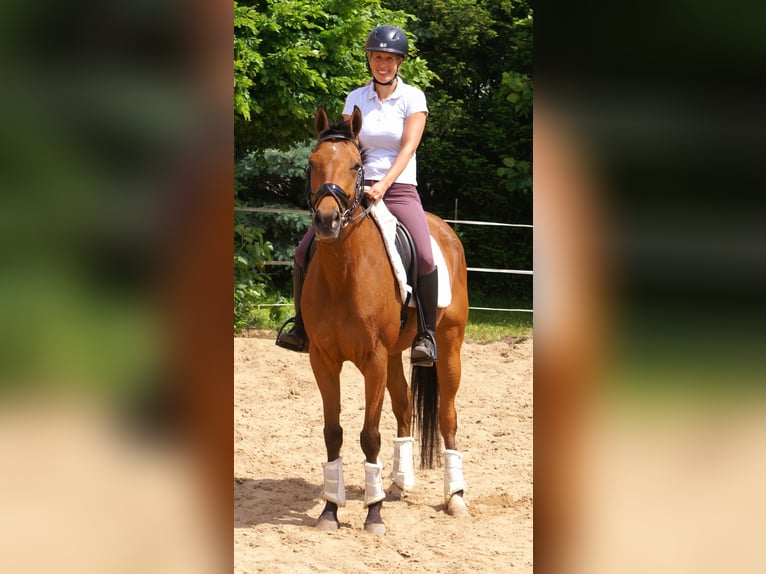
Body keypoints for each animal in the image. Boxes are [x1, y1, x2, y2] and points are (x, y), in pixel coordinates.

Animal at [301, 106, 470, 535]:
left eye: (356, 165)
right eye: (312, 163)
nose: (327, 222)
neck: (343, 272)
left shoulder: (372, 360)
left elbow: (370, 435)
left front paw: (373, 513)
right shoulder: (323, 359)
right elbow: (333, 433)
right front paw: (330, 510)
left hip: (448, 347)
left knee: (447, 418)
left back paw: (456, 498)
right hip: (395, 355)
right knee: (406, 409)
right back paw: (397, 483)